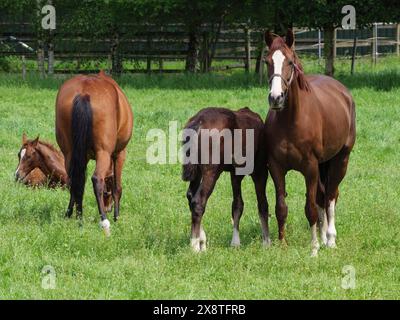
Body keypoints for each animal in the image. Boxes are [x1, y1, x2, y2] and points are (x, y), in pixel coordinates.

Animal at [55, 70, 134, 235]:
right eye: (106, 192)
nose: (108, 207)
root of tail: (84, 93)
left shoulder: (81, 157)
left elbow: (80, 183)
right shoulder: (119, 154)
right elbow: (117, 187)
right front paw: (117, 217)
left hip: (69, 153)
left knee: (74, 181)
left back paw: (78, 218)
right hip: (103, 153)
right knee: (96, 179)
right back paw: (104, 222)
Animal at [183, 107, 270, 252]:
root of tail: (198, 121)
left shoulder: (235, 174)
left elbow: (237, 205)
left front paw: (235, 242)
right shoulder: (260, 171)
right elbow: (262, 204)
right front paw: (267, 242)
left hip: (198, 171)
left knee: (190, 195)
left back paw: (202, 240)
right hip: (211, 171)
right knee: (198, 201)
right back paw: (195, 246)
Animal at [264, 28, 354, 256]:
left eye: (290, 61)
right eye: (267, 61)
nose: (276, 98)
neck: (291, 120)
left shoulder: (310, 168)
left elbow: (311, 208)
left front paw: (313, 248)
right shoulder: (276, 167)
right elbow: (281, 207)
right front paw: (283, 244)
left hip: (340, 160)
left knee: (330, 196)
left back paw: (330, 239)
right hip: (324, 164)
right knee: (323, 196)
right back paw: (323, 237)